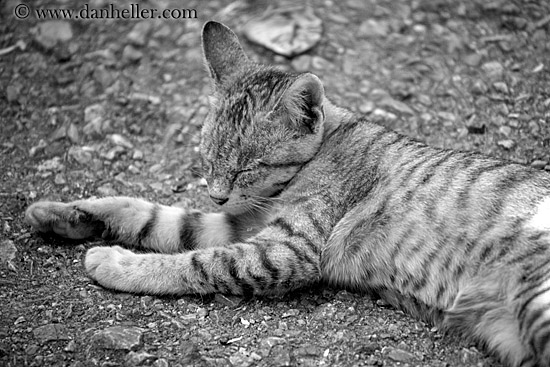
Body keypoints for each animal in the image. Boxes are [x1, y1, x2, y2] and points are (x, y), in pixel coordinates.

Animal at [23, 20, 550, 367]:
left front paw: (116, 263)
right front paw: (66, 212)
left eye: (246, 169)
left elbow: (191, 264)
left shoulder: (284, 249)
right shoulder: (236, 221)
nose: (217, 194)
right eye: (206, 159)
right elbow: (155, 216)